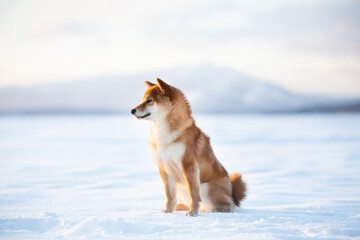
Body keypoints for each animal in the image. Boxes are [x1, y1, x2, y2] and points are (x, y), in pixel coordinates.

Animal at [131, 79, 246, 218]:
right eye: (143, 99)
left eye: (149, 100)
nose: (132, 110)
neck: (163, 135)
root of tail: (232, 194)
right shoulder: (164, 168)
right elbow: (169, 195)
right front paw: (168, 210)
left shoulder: (189, 166)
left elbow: (194, 195)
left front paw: (192, 212)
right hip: (181, 188)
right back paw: (180, 207)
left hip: (206, 188)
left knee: (227, 206)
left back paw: (212, 210)